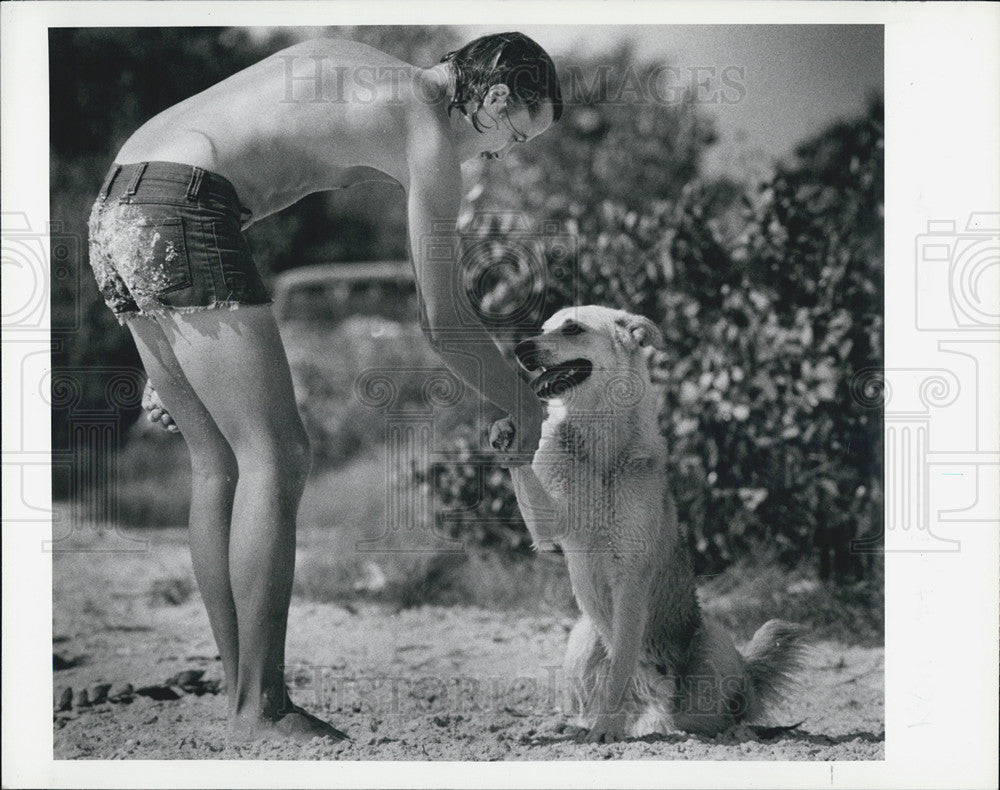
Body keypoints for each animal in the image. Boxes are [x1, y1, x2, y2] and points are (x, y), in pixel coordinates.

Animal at [488, 308, 808, 744]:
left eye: (572, 328)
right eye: (543, 328)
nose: (520, 349)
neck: (600, 444)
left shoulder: (629, 580)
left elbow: (622, 665)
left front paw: (606, 729)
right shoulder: (550, 523)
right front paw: (505, 434)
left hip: (714, 644)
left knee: (714, 715)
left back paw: (726, 730)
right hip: (581, 637)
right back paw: (578, 723)